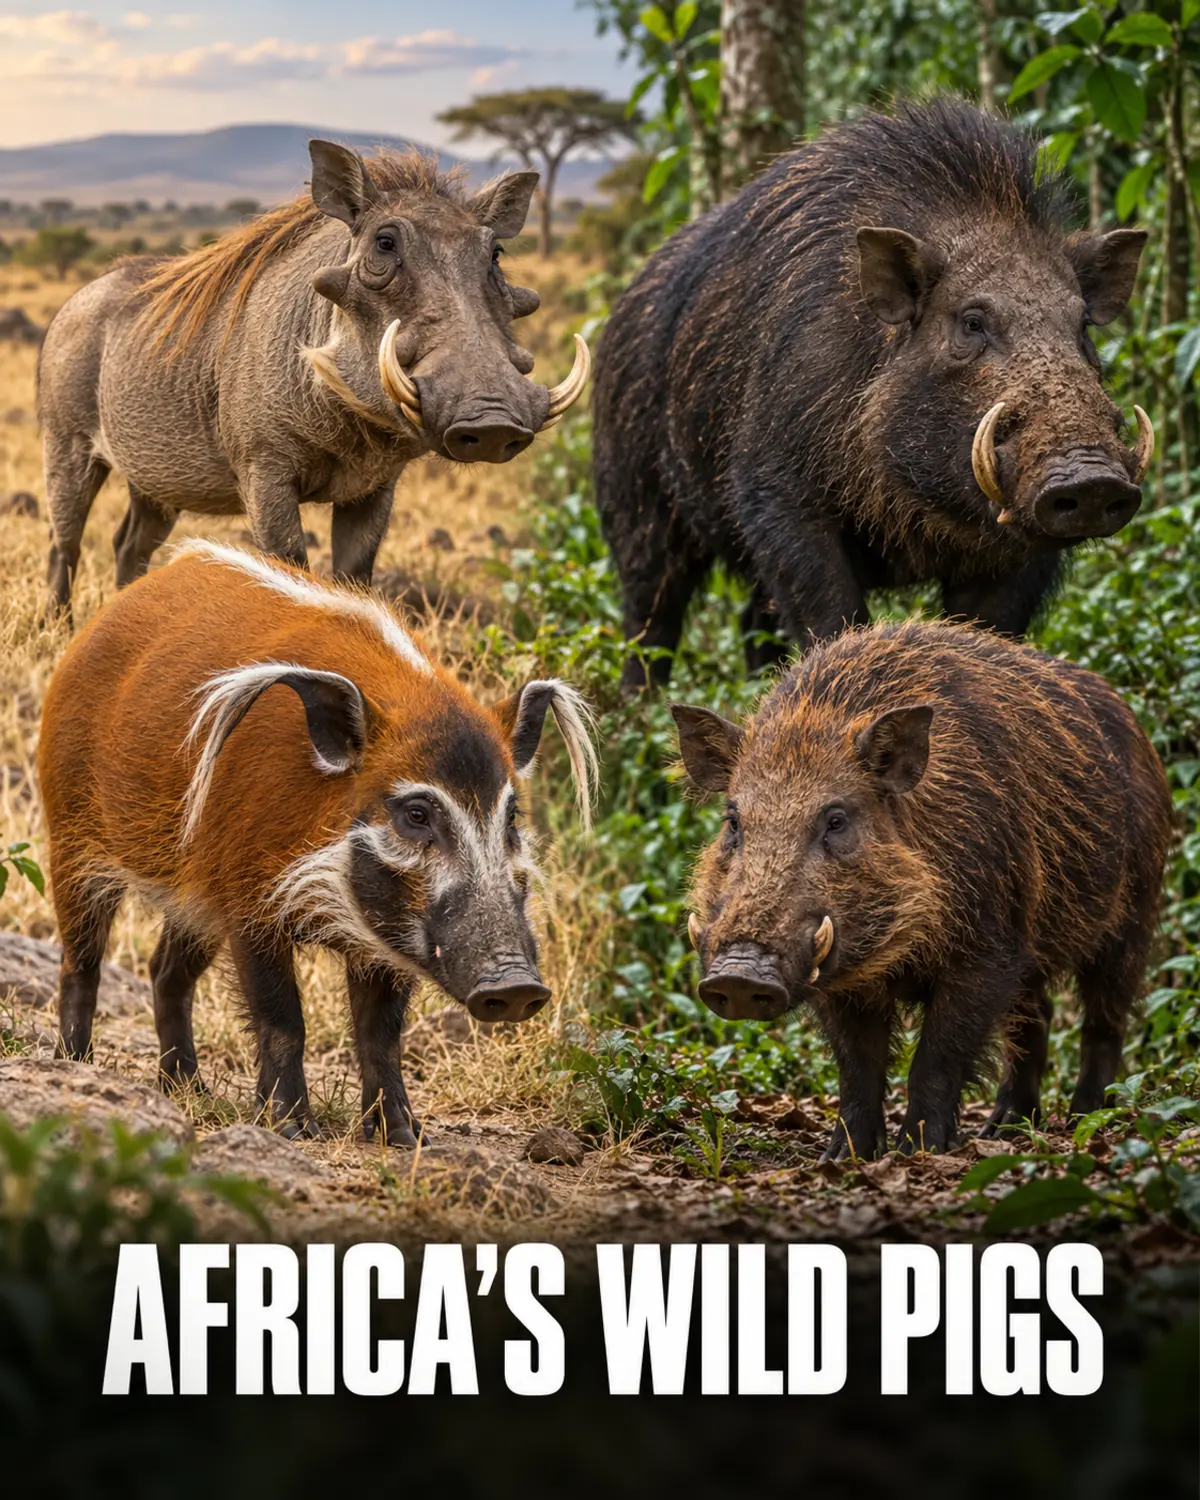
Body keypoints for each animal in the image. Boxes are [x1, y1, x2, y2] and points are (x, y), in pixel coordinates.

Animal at [37, 542, 597, 1144]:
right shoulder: (249, 904)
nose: (517, 987)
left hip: (192, 899)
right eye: (417, 813)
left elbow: (381, 1034)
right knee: (81, 962)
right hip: (70, 837)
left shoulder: (381, 937)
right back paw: (76, 1065)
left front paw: (404, 1136)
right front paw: (292, 1128)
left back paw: (188, 1090)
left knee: (165, 971)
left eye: (511, 815)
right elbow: (284, 1019)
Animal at [594, 98, 1153, 690]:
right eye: (971, 322)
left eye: (1082, 326)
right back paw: (637, 704)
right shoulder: (776, 496)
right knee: (650, 614)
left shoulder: (1024, 551)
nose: (1091, 477)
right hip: (635, 502)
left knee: (749, 619)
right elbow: (831, 617)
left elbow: (987, 630)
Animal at [674, 620, 1170, 1159]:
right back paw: (1005, 1129)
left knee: (1103, 1022)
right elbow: (858, 1068)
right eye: (733, 820)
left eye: (836, 819)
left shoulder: (987, 954)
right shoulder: (838, 978)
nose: (738, 976)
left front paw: (921, 1151)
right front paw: (843, 1156)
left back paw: (1085, 1119)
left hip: (1133, 919)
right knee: (1035, 1018)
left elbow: (936, 1058)